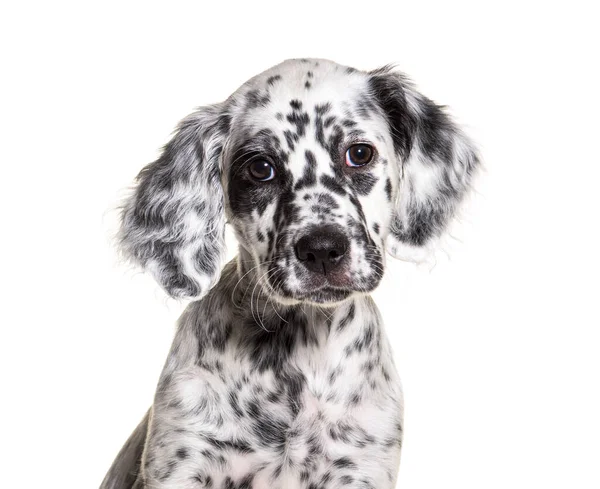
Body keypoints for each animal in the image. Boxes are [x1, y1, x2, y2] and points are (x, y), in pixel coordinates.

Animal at [101, 58, 480, 488]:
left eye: (359, 153)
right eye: (261, 168)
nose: (322, 250)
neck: (297, 347)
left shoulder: (360, 465)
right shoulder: (183, 460)